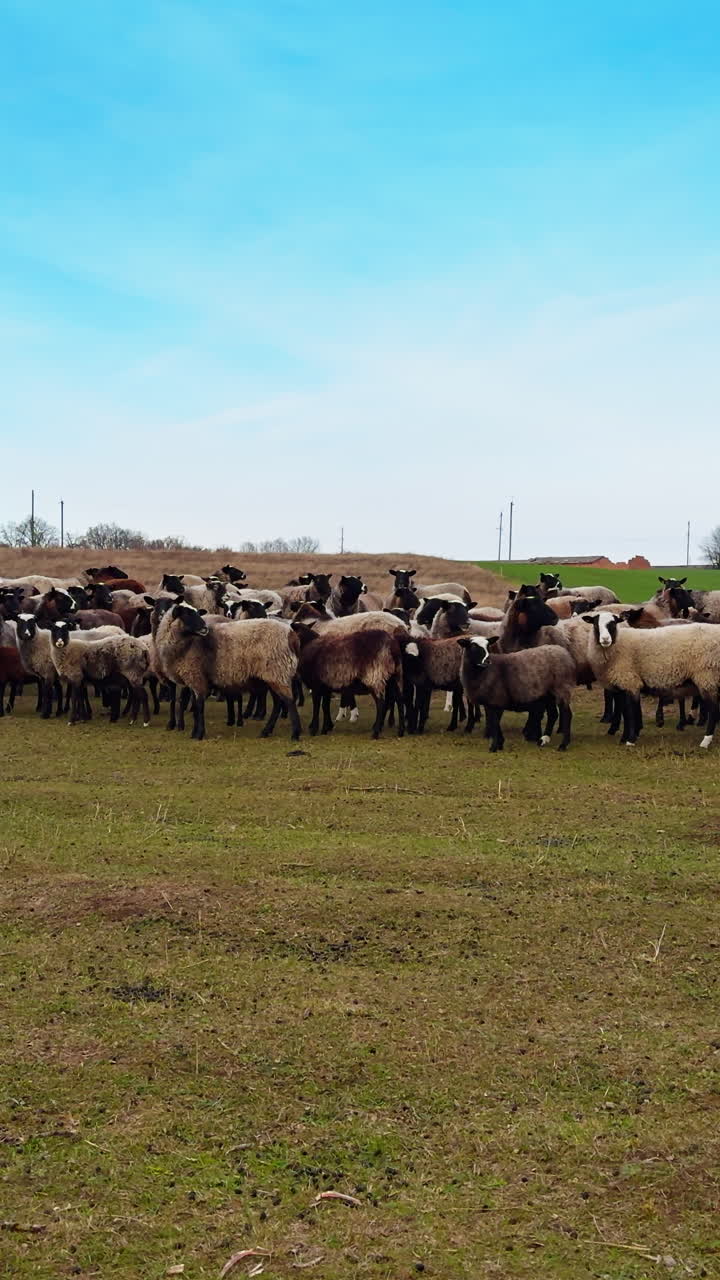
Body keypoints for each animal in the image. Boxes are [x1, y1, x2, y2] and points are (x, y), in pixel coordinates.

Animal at [154, 603, 301, 741]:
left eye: (197, 613)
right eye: (187, 614)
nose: (205, 628)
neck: (187, 645)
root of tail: (291, 635)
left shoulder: (197, 678)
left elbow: (199, 707)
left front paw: (199, 734)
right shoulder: (193, 679)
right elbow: (195, 707)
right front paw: (194, 733)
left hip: (278, 672)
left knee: (289, 701)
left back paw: (295, 734)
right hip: (272, 676)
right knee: (278, 703)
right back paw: (266, 732)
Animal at [582, 611, 720, 747]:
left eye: (614, 623)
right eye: (595, 624)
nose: (605, 639)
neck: (618, 644)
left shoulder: (630, 681)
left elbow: (630, 712)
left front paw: (630, 740)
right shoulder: (623, 684)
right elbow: (626, 712)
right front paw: (627, 737)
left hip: (707, 675)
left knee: (713, 709)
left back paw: (705, 741)